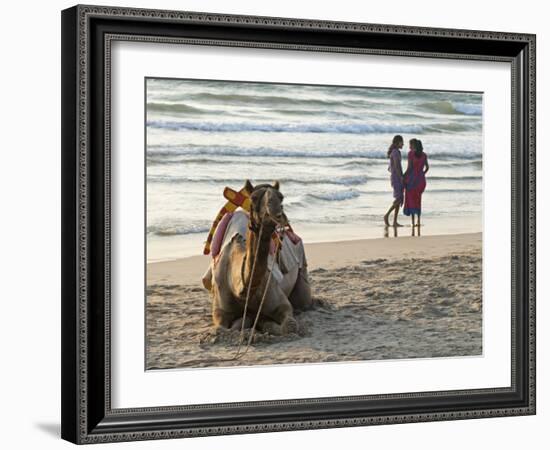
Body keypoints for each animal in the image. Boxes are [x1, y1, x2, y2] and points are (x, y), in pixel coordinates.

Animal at [203, 181, 314, 336]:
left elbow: (289, 325)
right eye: (254, 197)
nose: (277, 213)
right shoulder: (220, 310)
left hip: (302, 267)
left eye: (281, 197)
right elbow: (220, 329)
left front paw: (262, 323)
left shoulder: (280, 302)